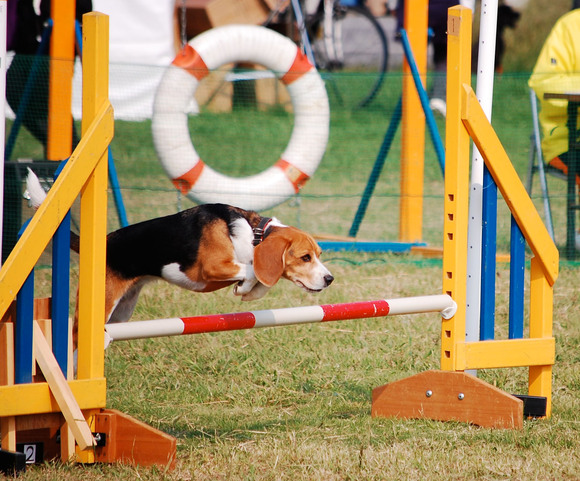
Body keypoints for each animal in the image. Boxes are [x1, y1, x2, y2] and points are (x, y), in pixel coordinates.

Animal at [26, 169, 336, 330]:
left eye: (319, 255)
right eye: (305, 257)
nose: (329, 279)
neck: (253, 234)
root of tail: (105, 241)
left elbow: (260, 281)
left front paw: (246, 291)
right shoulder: (212, 267)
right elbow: (250, 270)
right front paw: (245, 286)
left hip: (121, 312)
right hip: (102, 304)